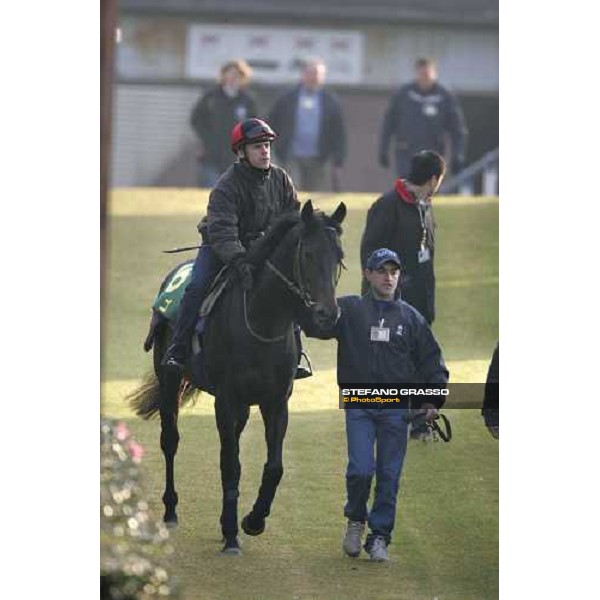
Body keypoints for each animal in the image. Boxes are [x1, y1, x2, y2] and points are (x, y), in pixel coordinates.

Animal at [131, 199, 346, 556]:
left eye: (339, 257)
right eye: (307, 254)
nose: (327, 316)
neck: (262, 321)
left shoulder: (275, 402)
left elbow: (273, 467)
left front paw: (252, 521)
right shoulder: (227, 399)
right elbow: (231, 464)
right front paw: (232, 535)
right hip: (169, 379)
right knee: (170, 441)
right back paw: (171, 510)